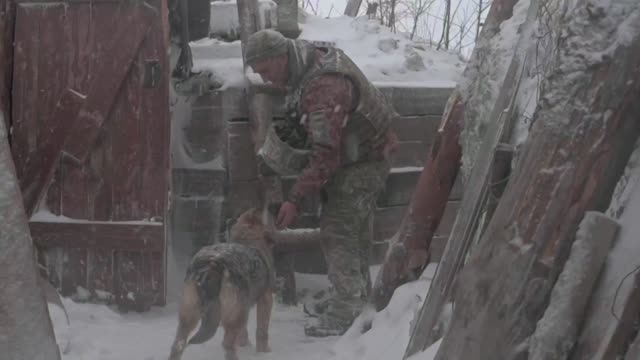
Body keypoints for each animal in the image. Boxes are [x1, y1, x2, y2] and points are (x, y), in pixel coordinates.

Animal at [170, 207, 278, 360]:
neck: (249, 239)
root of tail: (213, 263)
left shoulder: (245, 306)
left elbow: (244, 332)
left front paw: (244, 344)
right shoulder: (265, 299)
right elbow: (262, 331)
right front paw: (264, 352)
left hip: (189, 315)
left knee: (178, 344)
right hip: (235, 316)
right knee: (227, 344)